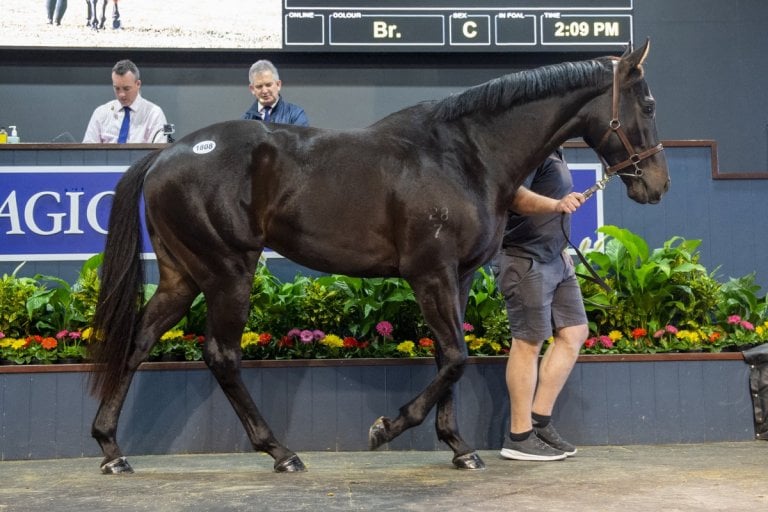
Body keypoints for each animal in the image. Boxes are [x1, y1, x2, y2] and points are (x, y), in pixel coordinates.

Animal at [88, 41, 664, 476]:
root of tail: (165, 154)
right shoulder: (430, 274)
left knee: (138, 342)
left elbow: (450, 356)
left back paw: (112, 449)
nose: (657, 184)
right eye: (650, 106)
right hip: (229, 271)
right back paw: (280, 452)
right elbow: (455, 357)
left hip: (182, 275)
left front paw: (460, 448)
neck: (464, 155)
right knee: (222, 355)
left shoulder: (456, 277)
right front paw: (387, 428)